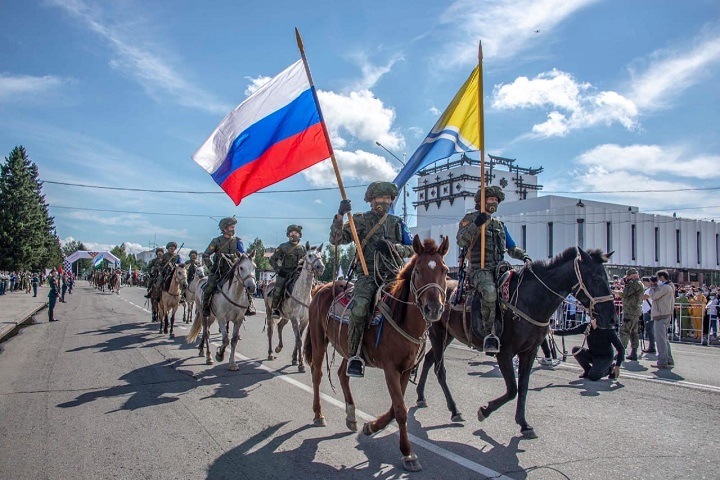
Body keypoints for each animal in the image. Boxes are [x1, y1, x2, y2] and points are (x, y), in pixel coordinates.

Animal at [262, 242, 324, 374]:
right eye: (309, 255)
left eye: (321, 255)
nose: (320, 268)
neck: (302, 293)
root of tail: (267, 285)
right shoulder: (295, 319)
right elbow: (299, 340)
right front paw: (301, 365)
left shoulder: (304, 320)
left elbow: (299, 338)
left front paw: (295, 359)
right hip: (270, 312)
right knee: (270, 331)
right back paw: (270, 353)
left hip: (285, 317)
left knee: (280, 326)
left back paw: (279, 347)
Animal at [306, 236, 450, 472]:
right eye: (418, 271)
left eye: (445, 271)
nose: (434, 309)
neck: (404, 320)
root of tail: (321, 288)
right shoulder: (390, 369)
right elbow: (400, 409)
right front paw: (408, 453)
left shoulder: (405, 370)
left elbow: (395, 408)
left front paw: (371, 427)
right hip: (319, 341)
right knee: (317, 375)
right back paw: (319, 414)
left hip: (349, 349)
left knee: (342, 374)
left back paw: (351, 415)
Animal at [416, 248, 612, 438]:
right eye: (596, 278)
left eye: (607, 278)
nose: (610, 318)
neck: (529, 300)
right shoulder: (504, 352)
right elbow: (512, 389)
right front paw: (484, 411)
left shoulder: (529, 351)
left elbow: (523, 387)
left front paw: (524, 424)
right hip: (437, 334)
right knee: (439, 370)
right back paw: (454, 410)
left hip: (448, 335)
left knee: (428, 360)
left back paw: (420, 396)